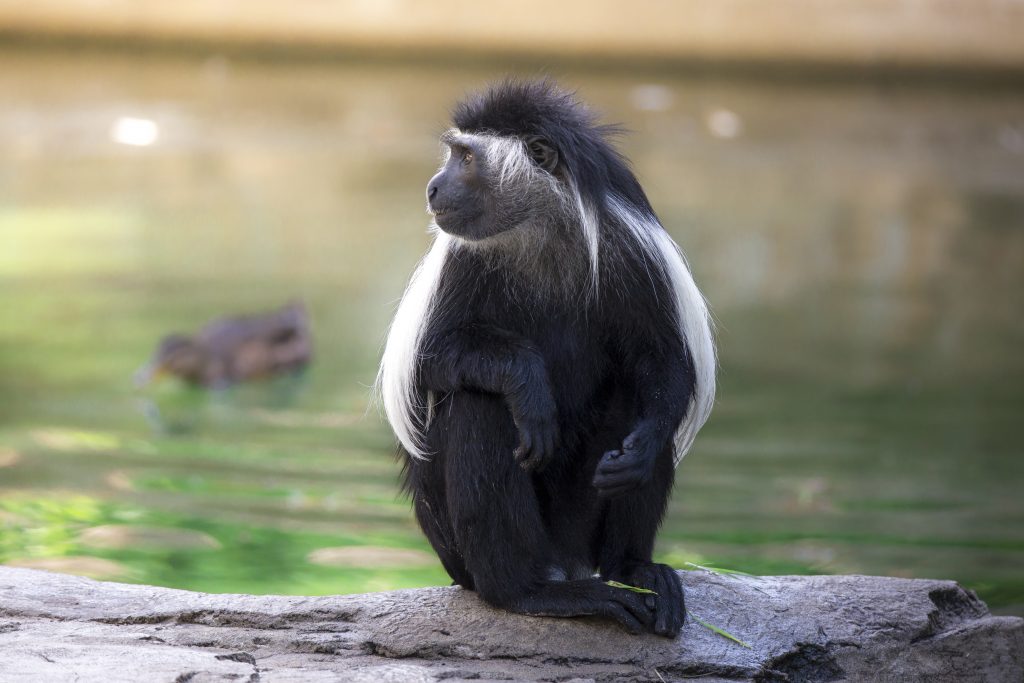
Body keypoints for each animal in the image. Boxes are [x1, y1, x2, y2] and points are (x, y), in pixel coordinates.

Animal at [378, 80, 715, 637]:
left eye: (465, 158)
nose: (432, 188)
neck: (542, 227)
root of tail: (565, 560)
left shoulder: (632, 248)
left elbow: (664, 360)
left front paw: (643, 445)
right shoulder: (460, 258)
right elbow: (428, 360)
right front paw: (530, 388)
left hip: (581, 523)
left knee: (635, 396)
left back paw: (635, 572)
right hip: (460, 549)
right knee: (477, 402)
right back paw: (528, 591)